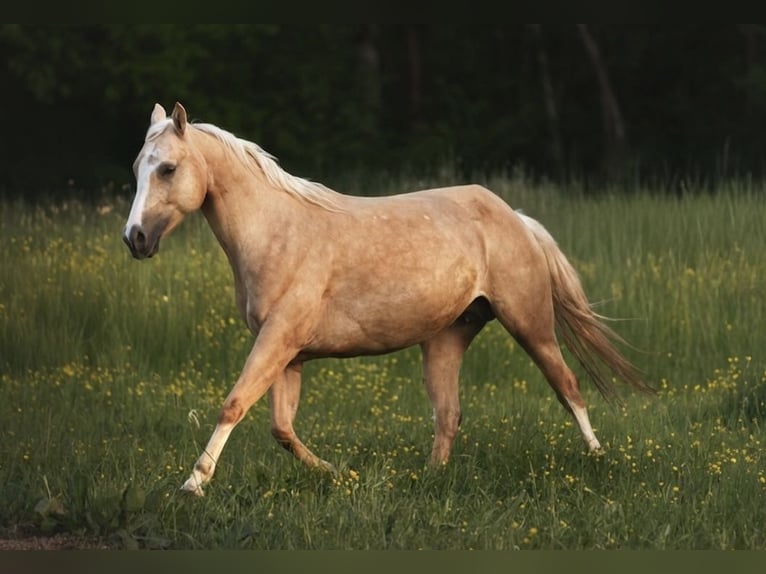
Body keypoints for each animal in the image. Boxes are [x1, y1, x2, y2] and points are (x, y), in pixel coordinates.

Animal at [123, 102, 653, 496]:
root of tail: (515, 217)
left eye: (168, 168)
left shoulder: (277, 340)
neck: (277, 232)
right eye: (137, 170)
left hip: (530, 324)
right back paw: (430, 480)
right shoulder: (288, 354)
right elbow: (281, 428)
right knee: (448, 414)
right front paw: (335, 472)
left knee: (568, 386)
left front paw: (193, 484)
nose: (135, 239)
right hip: (445, 339)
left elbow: (233, 405)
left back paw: (598, 456)